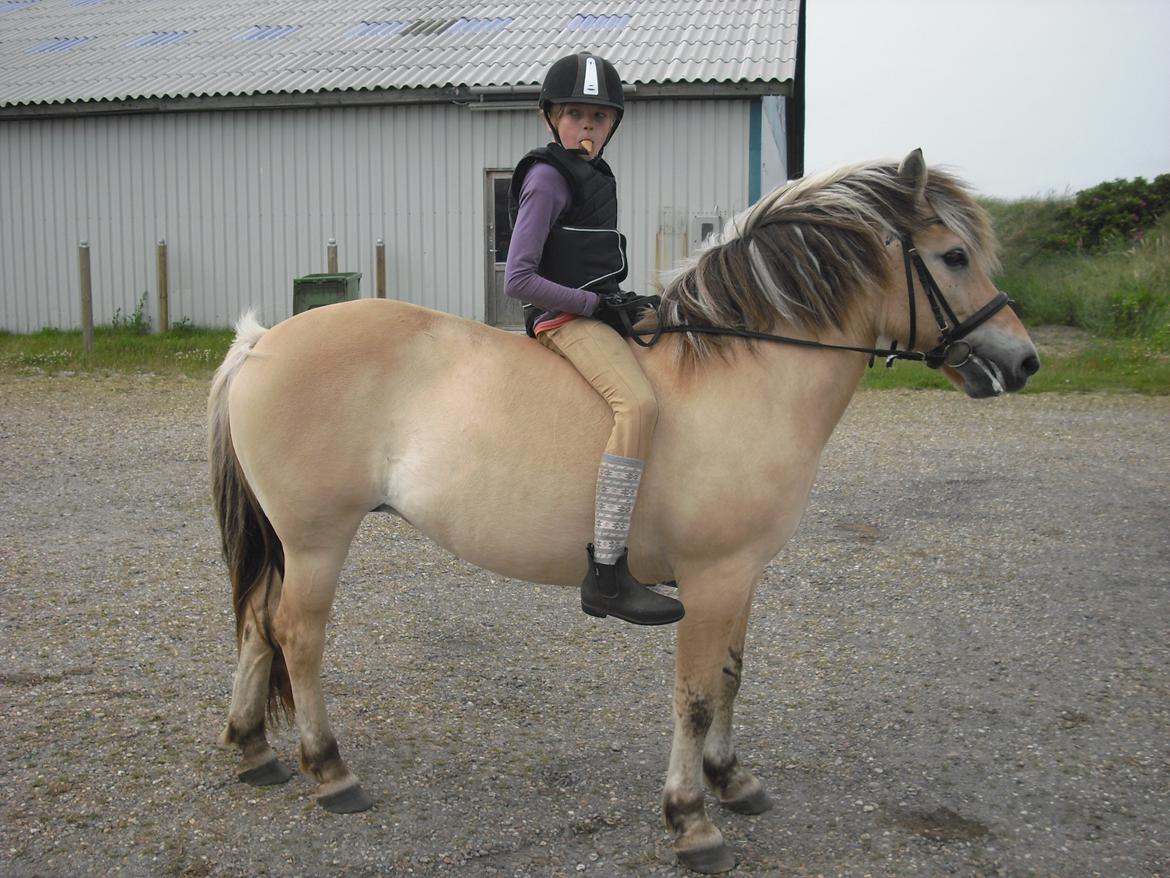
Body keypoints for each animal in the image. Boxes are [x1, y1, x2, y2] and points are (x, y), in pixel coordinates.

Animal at [205, 149, 1038, 875]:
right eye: (954, 256)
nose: (1024, 361)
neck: (745, 373)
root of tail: (263, 343)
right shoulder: (712, 579)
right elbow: (696, 696)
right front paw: (691, 819)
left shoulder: (743, 575)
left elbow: (732, 676)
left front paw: (732, 780)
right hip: (317, 540)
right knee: (297, 635)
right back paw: (329, 769)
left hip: (288, 543)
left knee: (256, 622)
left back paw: (254, 750)